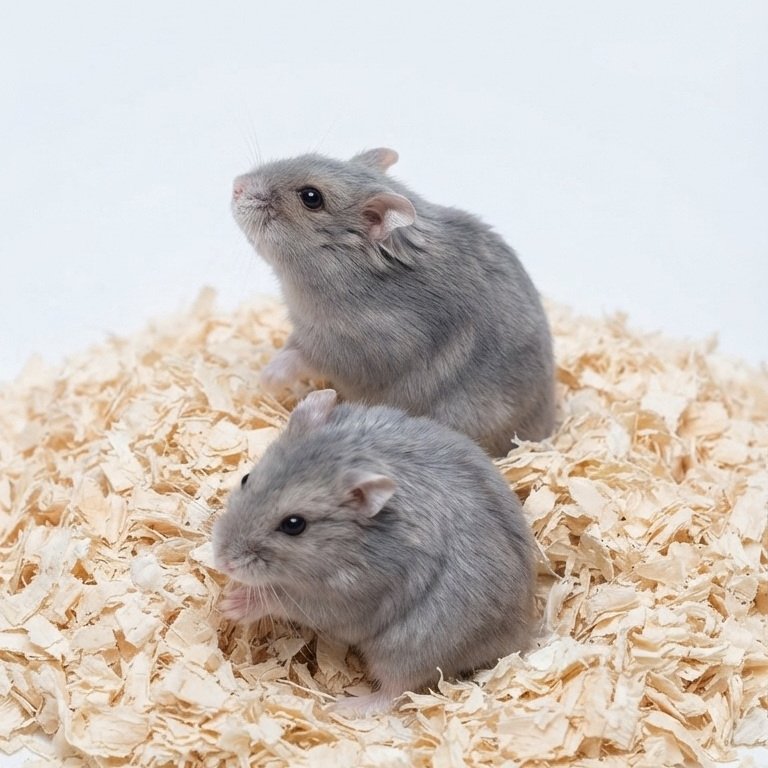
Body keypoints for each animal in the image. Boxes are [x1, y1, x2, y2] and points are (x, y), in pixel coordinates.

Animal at [212, 389, 537, 716]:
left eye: (294, 525)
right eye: (246, 478)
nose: (222, 562)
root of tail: (522, 637)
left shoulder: (342, 600)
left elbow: (280, 599)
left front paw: (232, 605)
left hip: (405, 653)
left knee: (396, 692)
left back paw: (345, 707)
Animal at [231, 147, 555, 456]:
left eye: (311, 198)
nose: (236, 185)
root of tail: (549, 427)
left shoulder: (356, 349)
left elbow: (301, 358)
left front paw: (266, 380)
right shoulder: (303, 329)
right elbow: (290, 345)